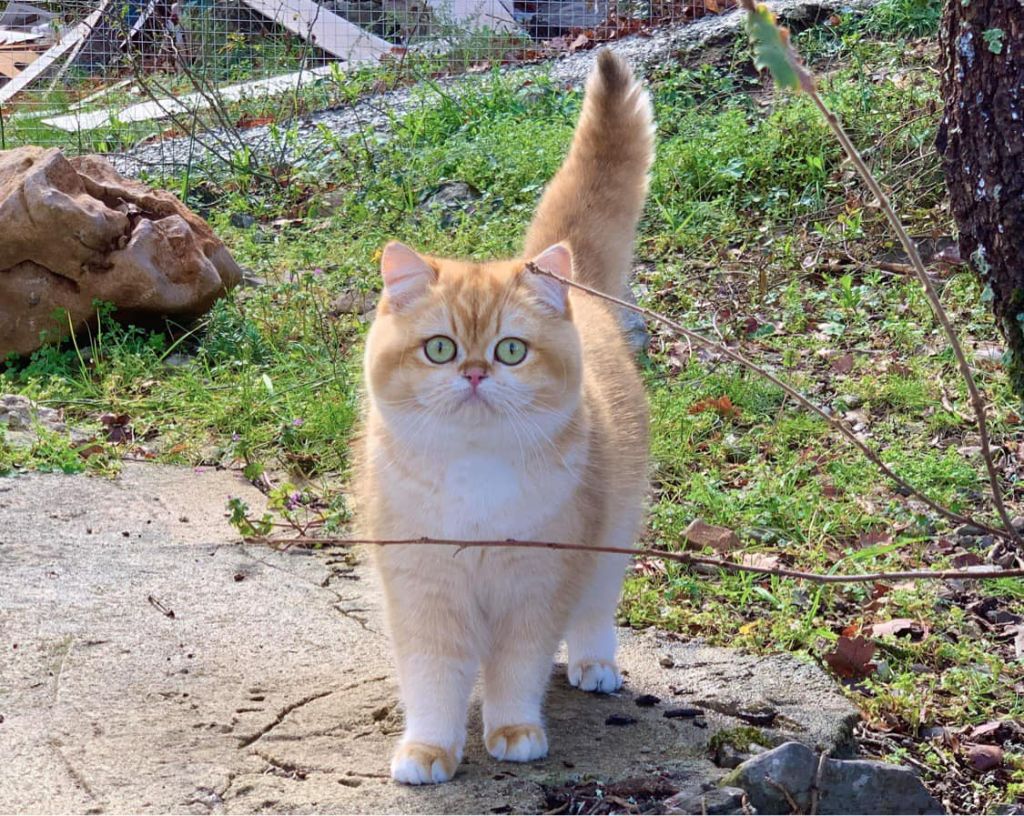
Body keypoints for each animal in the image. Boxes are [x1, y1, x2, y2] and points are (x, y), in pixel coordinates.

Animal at [356, 49, 651, 782]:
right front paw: (429, 750)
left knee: (595, 612)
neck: (476, 476)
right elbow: (434, 678)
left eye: (510, 350)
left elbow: (517, 670)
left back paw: (594, 664)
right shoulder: (424, 590)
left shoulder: (535, 586)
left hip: (613, 539)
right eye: (439, 348)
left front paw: (515, 731)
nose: (474, 373)